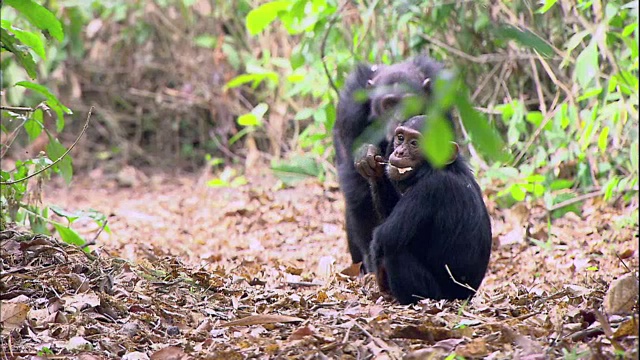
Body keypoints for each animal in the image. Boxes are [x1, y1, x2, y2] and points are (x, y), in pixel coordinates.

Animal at [360, 115, 490, 304]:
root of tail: (466, 297)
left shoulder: (429, 190)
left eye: (414, 143)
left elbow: (384, 236)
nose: (399, 152)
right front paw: (368, 160)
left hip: (434, 295)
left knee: (394, 250)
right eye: (400, 138)